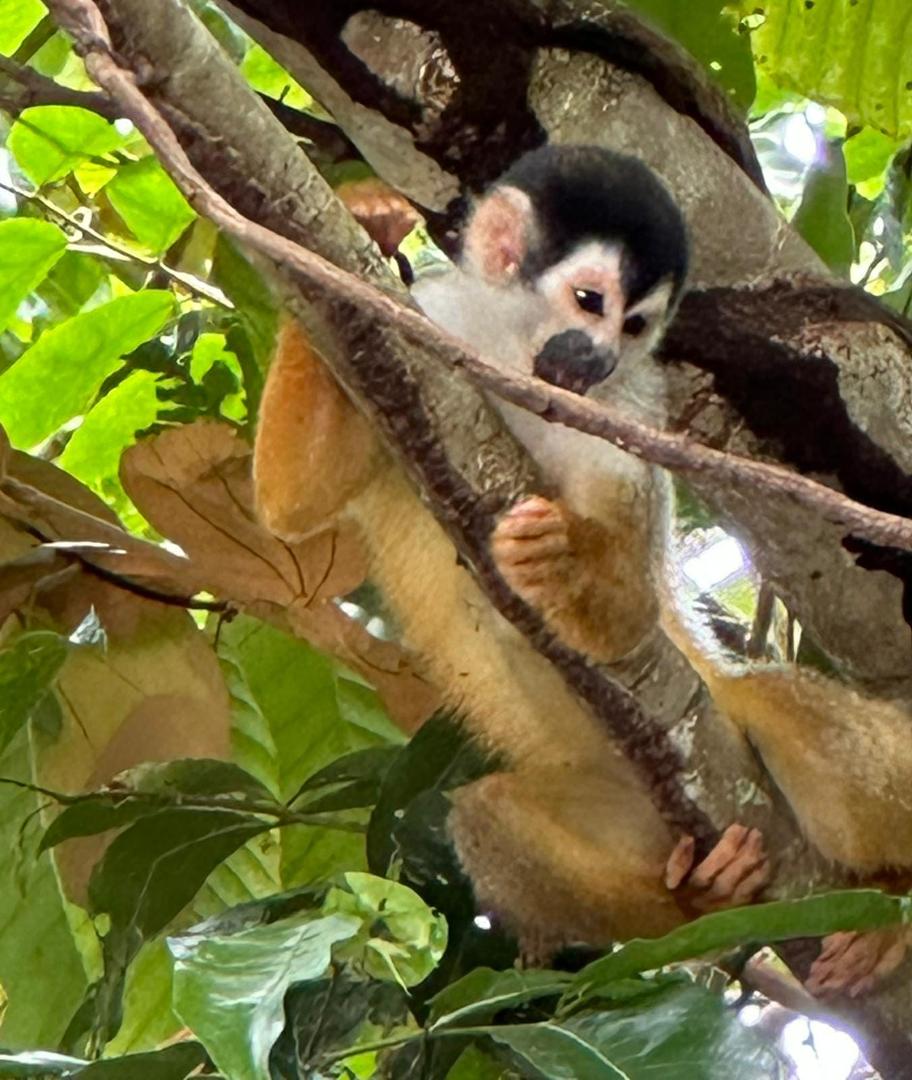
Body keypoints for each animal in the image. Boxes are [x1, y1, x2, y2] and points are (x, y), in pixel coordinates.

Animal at [254, 145, 912, 993]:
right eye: (589, 301)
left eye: (635, 326)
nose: (598, 355)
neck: (509, 358)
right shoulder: (427, 326)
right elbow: (293, 500)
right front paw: (357, 228)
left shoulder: (627, 406)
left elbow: (627, 613)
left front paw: (560, 559)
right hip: (628, 813)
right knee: (487, 817)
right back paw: (699, 899)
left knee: (770, 700)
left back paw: (892, 903)